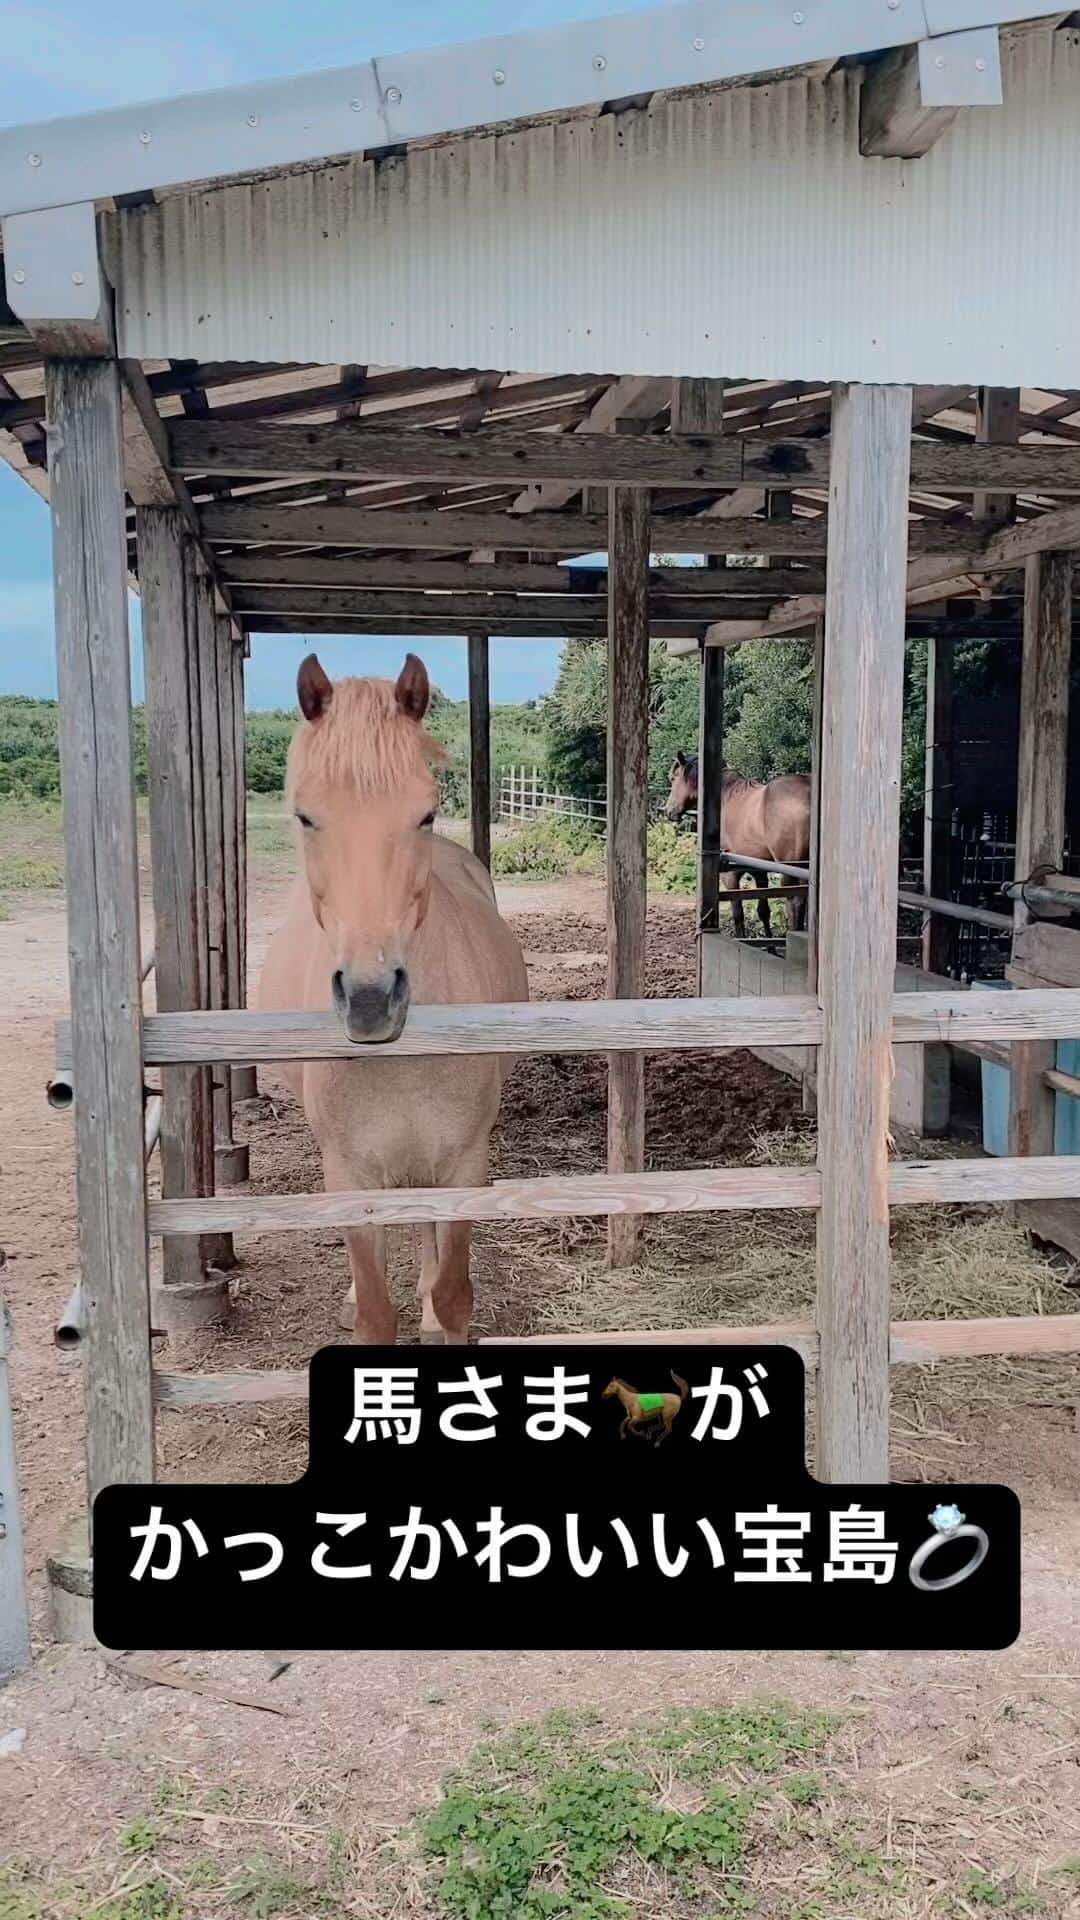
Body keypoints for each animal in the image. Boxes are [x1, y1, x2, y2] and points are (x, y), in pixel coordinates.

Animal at [261, 660, 530, 1351]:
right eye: (306, 816)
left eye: (426, 815)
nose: (370, 999)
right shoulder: (350, 1177)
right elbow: (376, 1315)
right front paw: (368, 1303)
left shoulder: (465, 1165)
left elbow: (454, 1294)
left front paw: (437, 1313)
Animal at [664, 764, 807, 944]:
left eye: (673, 778)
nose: (669, 811)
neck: (725, 798)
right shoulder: (759, 871)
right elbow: (763, 911)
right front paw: (769, 945)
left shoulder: (730, 875)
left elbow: (738, 913)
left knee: (795, 903)